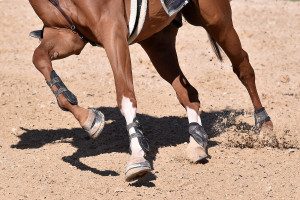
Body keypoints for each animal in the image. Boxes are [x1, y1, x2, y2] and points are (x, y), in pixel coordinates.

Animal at [28, 0, 274, 181]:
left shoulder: (113, 32)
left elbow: (126, 97)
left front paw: (137, 157)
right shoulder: (66, 35)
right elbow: (39, 60)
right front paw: (89, 119)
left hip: (216, 19)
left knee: (243, 67)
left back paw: (264, 125)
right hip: (158, 42)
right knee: (189, 93)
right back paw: (197, 143)